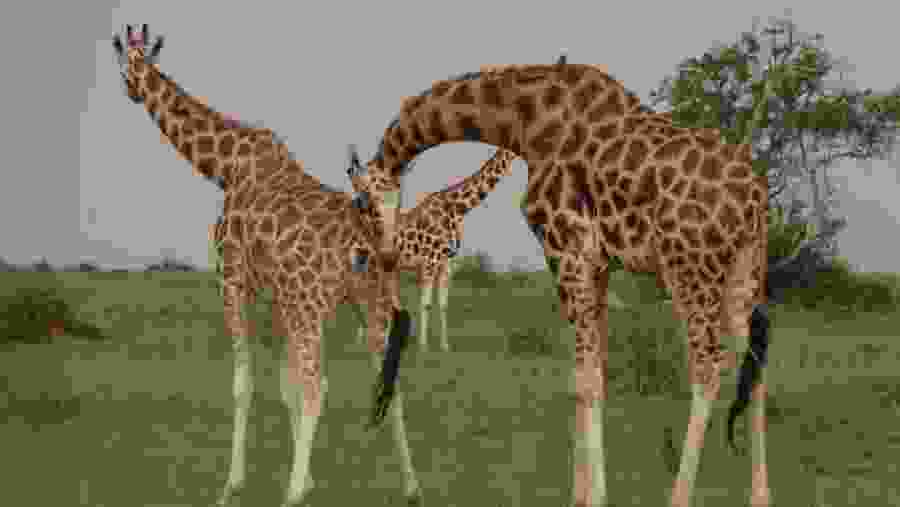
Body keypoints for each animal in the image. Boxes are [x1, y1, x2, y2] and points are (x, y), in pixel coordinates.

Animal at [111, 25, 423, 506]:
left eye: (128, 63)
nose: (130, 87)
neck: (225, 164)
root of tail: (372, 246)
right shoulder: (280, 298)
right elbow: (284, 384)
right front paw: (307, 477)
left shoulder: (234, 280)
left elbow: (246, 384)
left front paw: (234, 485)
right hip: (368, 301)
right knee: (384, 377)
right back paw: (411, 486)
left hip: (312, 304)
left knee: (318, 386)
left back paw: (291, 496)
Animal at [349, 148, 516, 352]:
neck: (457, 210)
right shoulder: (429, 262)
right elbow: (425, 303)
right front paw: (423, 346)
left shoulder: (447, 264)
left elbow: (443, 304)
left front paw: (445, 346)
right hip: (371, 263)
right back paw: (363, 341)